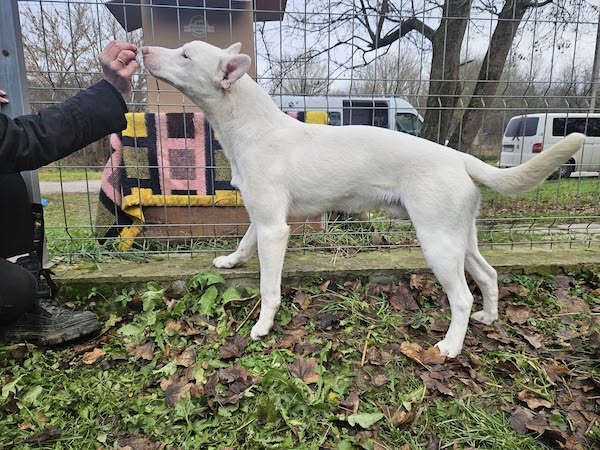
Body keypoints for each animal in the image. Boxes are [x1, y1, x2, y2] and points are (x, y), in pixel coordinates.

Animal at [142, 41, 585, 357]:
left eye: (185, 54)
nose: (142, 50)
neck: (253, 128)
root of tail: (460, 157)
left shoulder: (274, 230)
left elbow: (269, 288)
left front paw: (263, 327)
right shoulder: (261, 220)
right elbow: (243, 243)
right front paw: (231, 261)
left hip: (438, 242)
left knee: (461, 297)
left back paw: (451, 346)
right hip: (461, 238)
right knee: (489, 275)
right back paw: (489, 317)